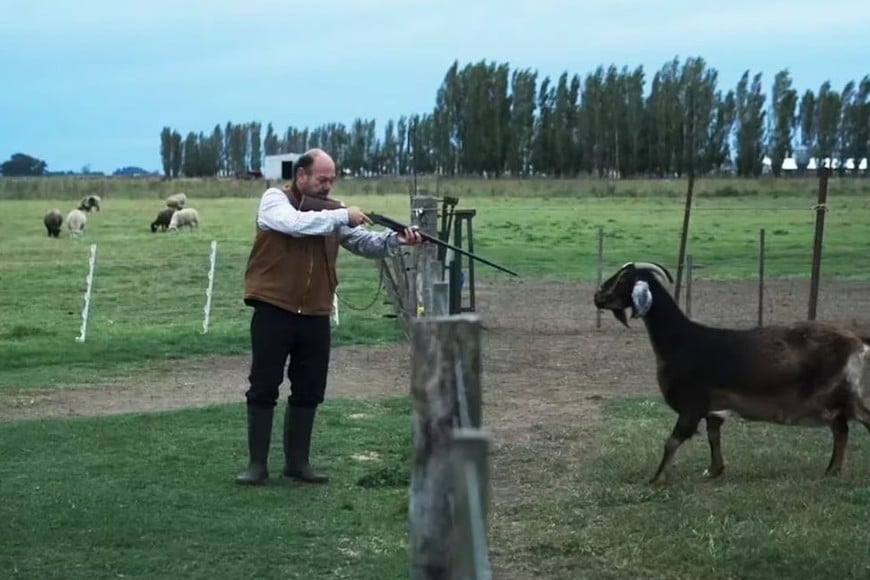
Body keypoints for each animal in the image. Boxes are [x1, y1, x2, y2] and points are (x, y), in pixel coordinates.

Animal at [592, 262, 870, 484]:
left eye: (623, 280)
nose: (598, 297)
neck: (681, 341)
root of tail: (856, 340)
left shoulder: (691, 406)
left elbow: (671, 441)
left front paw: (656, 479)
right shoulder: (712, 409)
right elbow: (713, 436)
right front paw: (714, 471)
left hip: (837, 394)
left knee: (855, 423)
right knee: (841, 430)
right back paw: (831, 470)